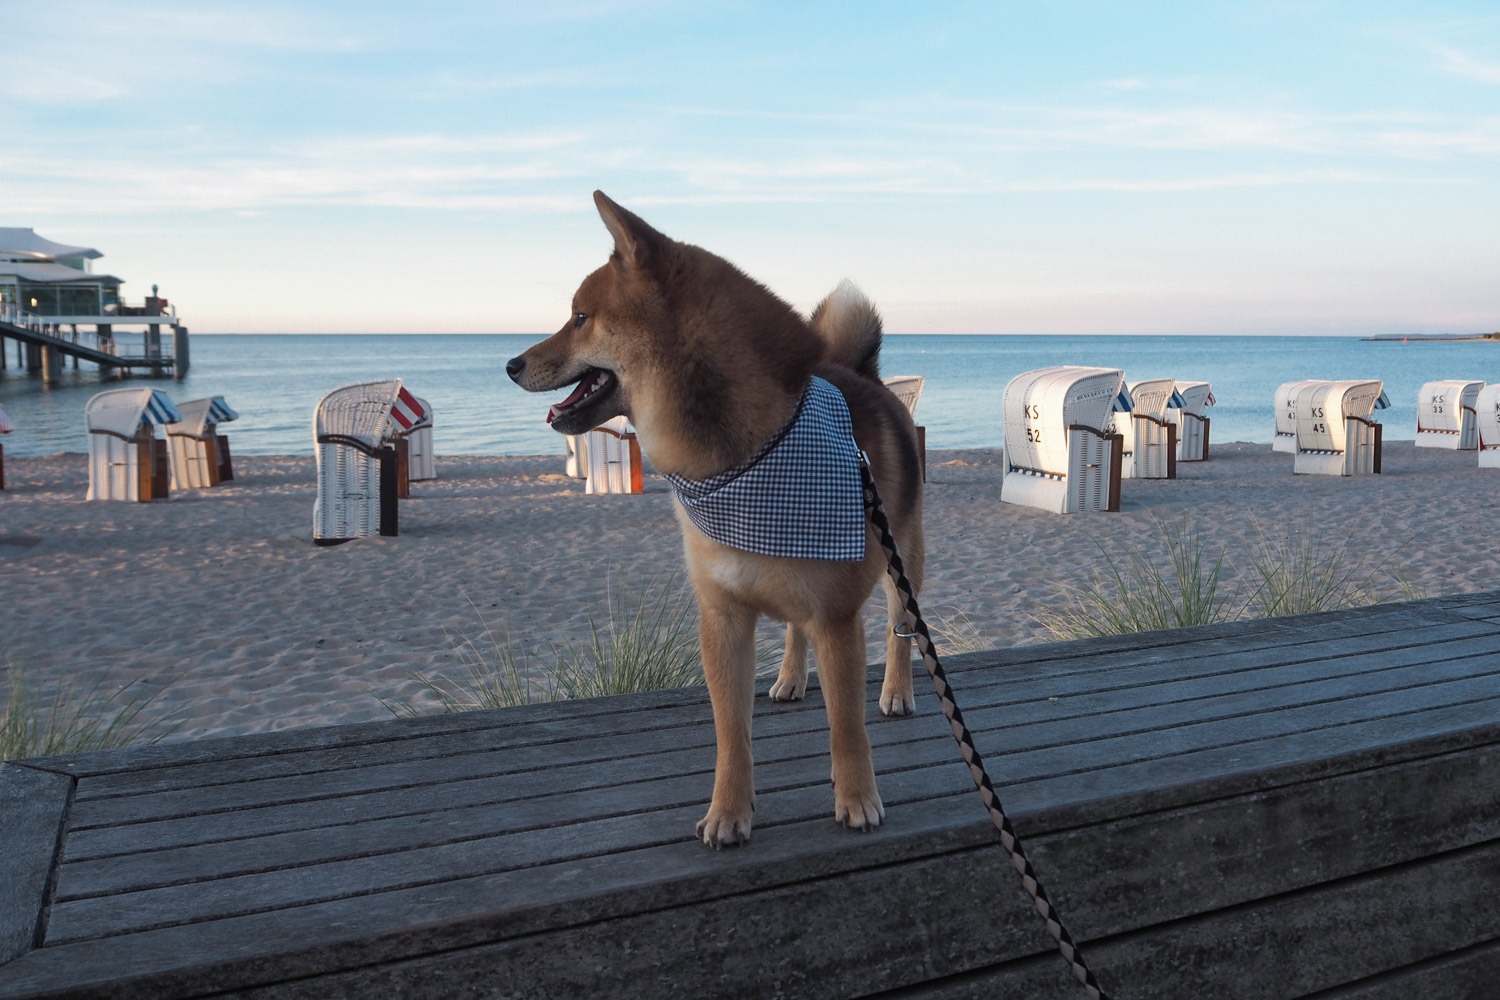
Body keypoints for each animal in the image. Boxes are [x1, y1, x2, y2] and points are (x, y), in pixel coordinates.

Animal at [510, 191, 918, 851]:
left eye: (579, 317)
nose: (511, 364)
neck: (740, 465)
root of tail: (866, 376)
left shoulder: (837, 618)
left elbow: (845, 726)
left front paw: (857, 799)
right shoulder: (722, 617)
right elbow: (732, 734)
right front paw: (729, 811)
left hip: (903, 561)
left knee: (900, 631)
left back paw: (898, 691)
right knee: (795, 631)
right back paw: (789, 678)